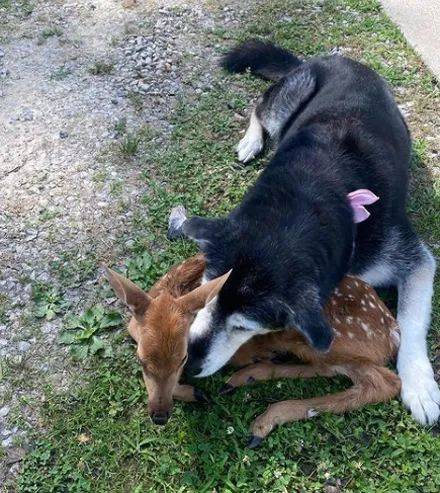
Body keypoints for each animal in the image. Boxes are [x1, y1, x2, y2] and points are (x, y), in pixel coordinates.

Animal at [168, 40, 440, 422]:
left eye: (244, 327)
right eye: (203, 295)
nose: (187, 363)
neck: (308, 194)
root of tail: (332, 59)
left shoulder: (414, 258)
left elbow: (411, 320)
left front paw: (419, 385)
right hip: (290, 98)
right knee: (260, 107)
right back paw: (251, 142)